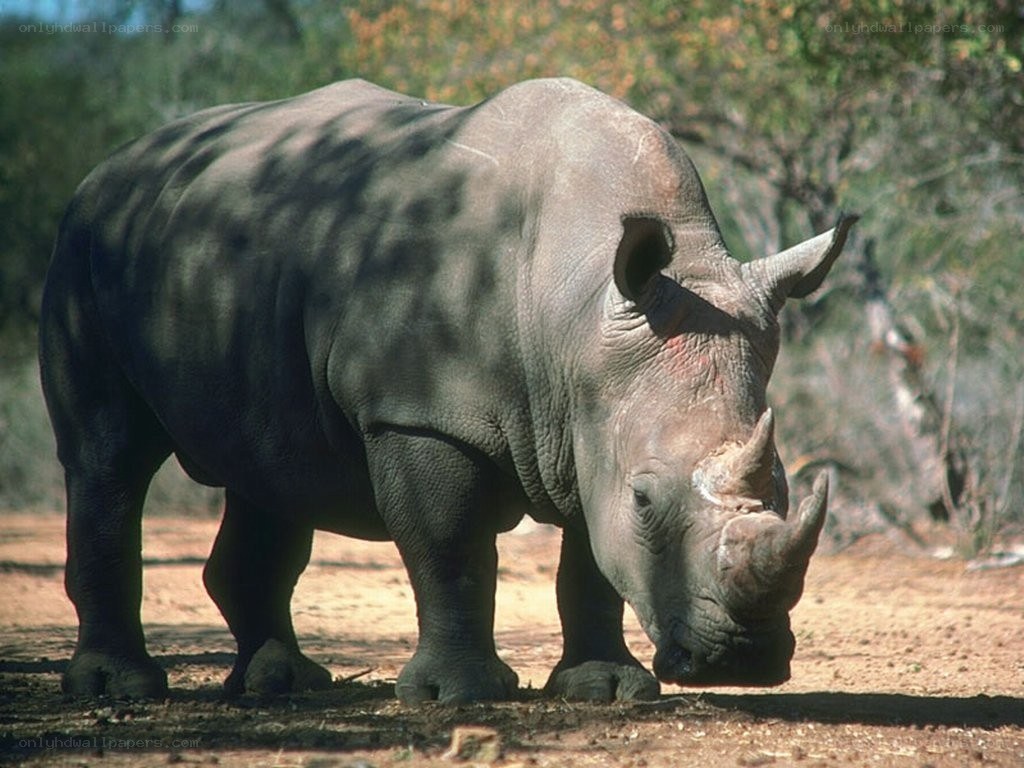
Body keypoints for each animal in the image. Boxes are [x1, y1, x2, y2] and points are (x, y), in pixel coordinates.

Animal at [40, 78, 855, 704]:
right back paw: (118, 689)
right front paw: (457, 696)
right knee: (107, 458)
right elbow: (451, 546)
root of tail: (108, 167)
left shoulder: (591, 422)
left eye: (784, 488)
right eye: (646, 500)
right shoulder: (420, 413)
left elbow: (590, 562)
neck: (577, 314)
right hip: (83, 246)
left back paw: (285, 684)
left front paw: (603, 689)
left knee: (267, 467)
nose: (744, 660)